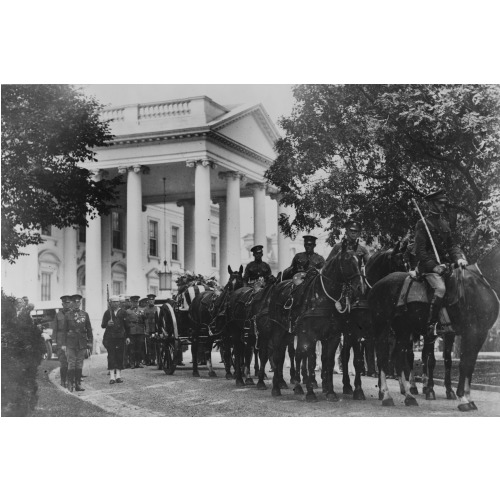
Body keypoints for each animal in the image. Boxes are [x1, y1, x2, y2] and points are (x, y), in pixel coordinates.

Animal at [270, 239, 364, 402]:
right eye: (347, 260)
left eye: (360, 259)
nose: (359, 287)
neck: (323, 297)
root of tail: (279, 285)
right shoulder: (311, 335)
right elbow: (312, 360)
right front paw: (311, 392)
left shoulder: (333, 336)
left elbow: (329, 361)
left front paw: (330, 392)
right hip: (279, 331)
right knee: (278, 356)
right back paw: (277, 387)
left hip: (291, 334)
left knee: (295, 355)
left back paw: (297, 386)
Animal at [368, 254, 500, 410]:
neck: (479, 287)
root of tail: (377, 285)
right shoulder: (471, 332)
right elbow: (464, 364)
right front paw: (463, 398)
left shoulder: (480, 334)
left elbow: (469, 364)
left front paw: (467, 397)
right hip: (383, 328)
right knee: (383, 358)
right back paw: (387, 395)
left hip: (403, 331)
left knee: (398, 359)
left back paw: (409, 396)